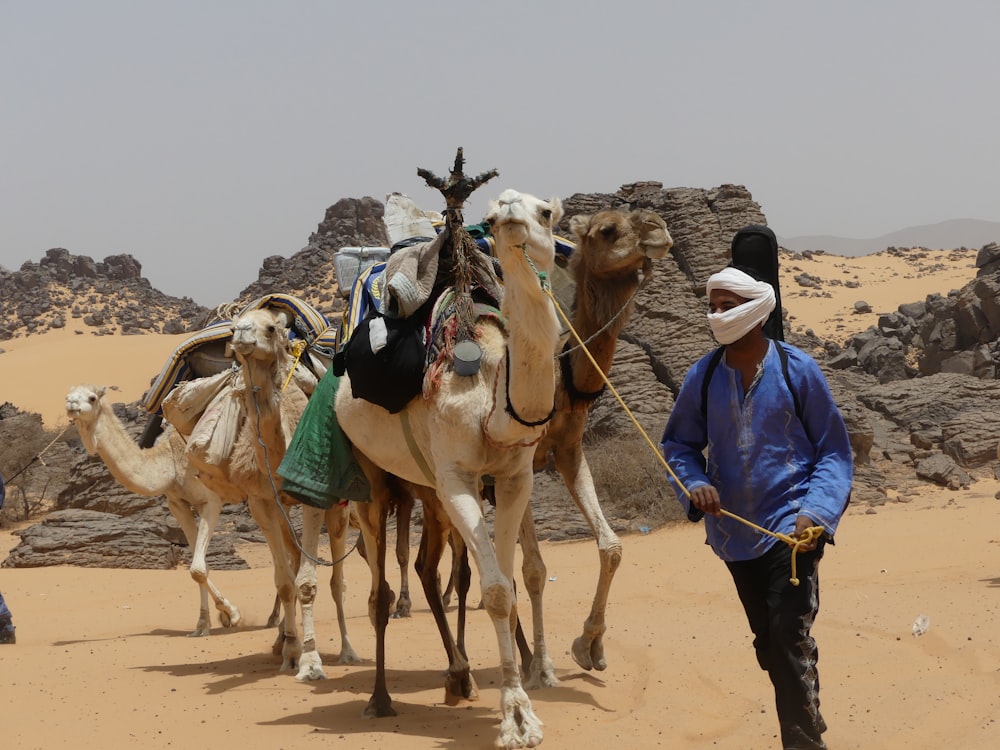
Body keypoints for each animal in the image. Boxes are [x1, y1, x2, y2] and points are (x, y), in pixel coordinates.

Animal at [338, 189, 564, 750]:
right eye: (500, 209)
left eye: (546, 213)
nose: (510, 216)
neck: (492, 396)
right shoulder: (458, 478)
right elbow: (497, 592)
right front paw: (515, 718)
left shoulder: (514, 478)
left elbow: (504, 583)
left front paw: (519, 706)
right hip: (372, 479)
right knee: (380, 589)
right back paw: (379, 698)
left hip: (426, 486)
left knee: (426, 567)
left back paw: (459, 676)